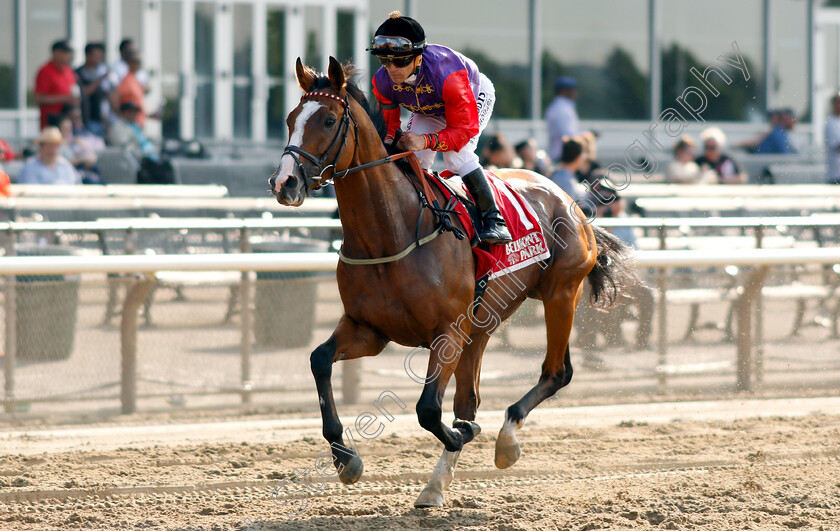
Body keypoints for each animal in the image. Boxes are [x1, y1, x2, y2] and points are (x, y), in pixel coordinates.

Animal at [270, 56, 636, 510]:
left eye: (329, 119)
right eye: (290, 118)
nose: (284, 183)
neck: (391, 231)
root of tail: (567, 196)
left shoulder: (446, 332)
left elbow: (429, 409)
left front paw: (462, 434)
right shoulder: (368, 329)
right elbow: (319, 360)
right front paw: (345, 458)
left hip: (560, 293)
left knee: (556, 373)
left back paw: (505, 441)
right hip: (482, 323)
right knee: (471, 398)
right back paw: (435, 483)